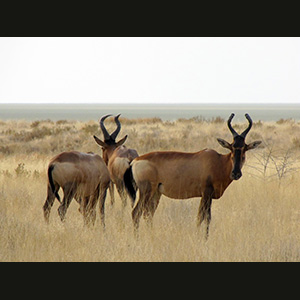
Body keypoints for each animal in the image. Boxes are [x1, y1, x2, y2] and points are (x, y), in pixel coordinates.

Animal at [123, 113, 262, 238]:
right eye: (232, 148)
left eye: (244, 149)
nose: (236, 173)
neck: (218, 161)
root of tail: (135, 161)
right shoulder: (206, 193)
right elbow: (202, 217)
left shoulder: (208, 196)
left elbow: (205, 217)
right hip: (145, 192)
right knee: (136, 213)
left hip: (156, 193)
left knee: (148, 214)